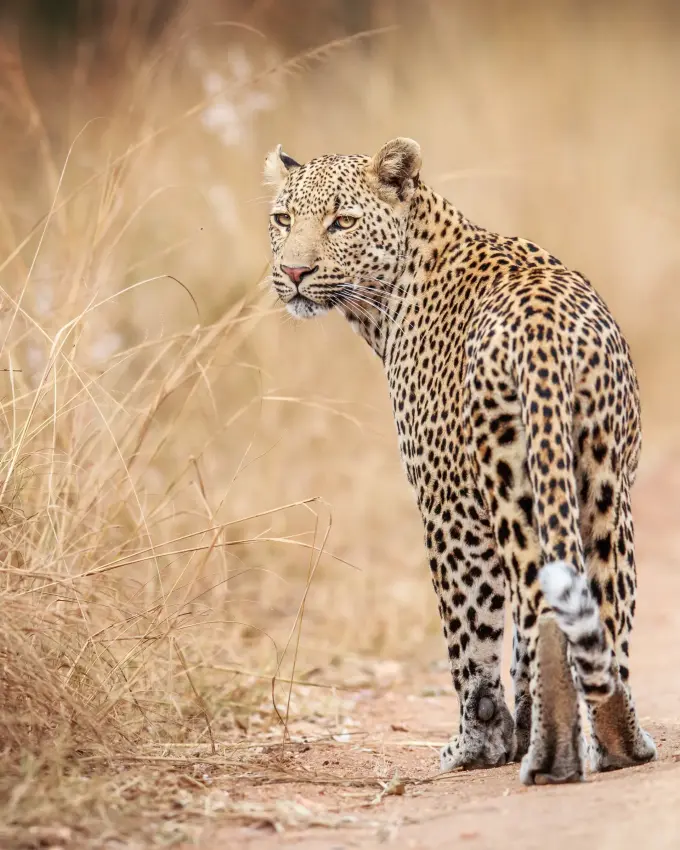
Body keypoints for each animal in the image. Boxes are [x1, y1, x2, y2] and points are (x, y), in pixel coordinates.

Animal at [263, 137, 657, 785]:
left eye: (342, 221)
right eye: (282, 220)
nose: (294, 273)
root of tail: (545, 337)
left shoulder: (448, 505)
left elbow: (470, 640)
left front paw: (478, 744)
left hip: (511, 490)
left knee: (536, 611)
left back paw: (549, 753)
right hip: (603, 487)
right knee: (603, 609)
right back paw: (619, 741)